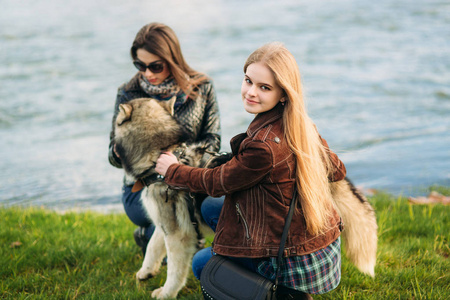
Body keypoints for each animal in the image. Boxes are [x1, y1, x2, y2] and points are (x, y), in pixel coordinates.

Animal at [114, 98, 378, 298]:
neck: (162, 152)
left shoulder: (178, 233)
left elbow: (175, 269)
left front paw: (166, 293)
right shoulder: (169, 221)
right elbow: (153, 244)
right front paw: (146, 271)